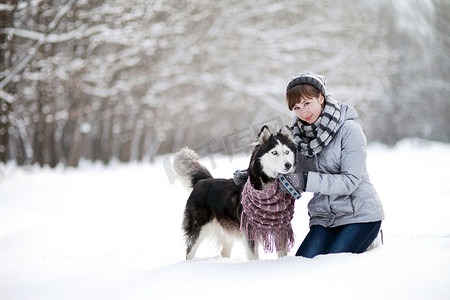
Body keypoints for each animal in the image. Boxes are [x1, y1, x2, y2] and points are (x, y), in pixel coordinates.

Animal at [174, 125, 298, 258]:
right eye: (274, 152)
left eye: (287, 152)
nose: (288, 165)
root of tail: (203, 180)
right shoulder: (249, 231)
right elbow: (254, 256)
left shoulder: (281, 229)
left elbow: (282, 253)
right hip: (198, 229)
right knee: (189, 252)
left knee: (224, 252)